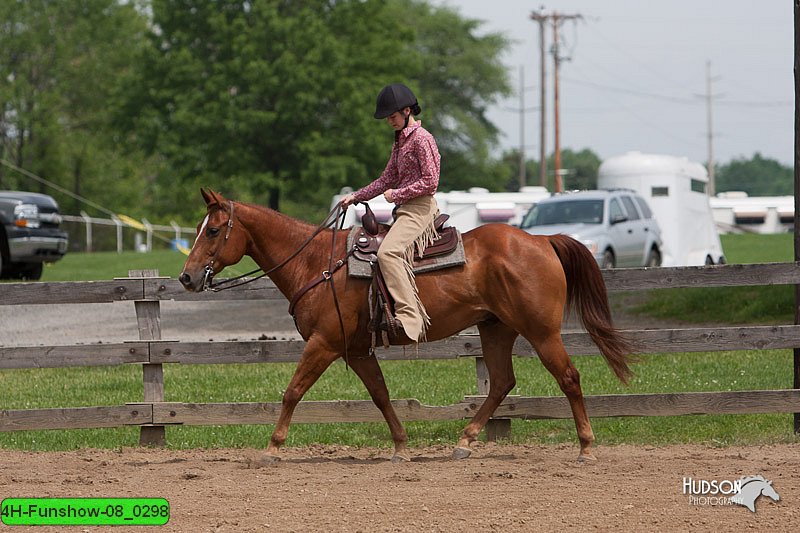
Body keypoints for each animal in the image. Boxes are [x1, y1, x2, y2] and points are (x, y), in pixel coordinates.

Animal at [180, 190, 632, 462]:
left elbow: (292, 391)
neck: (317, 263)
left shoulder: (324, 344)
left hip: (541, 332)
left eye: (214, 230)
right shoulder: (356, 349)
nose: (186, 277)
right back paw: (464, 442)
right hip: (495, 329)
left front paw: (273, 448)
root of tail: (541, 241)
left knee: (569, 377)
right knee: (502, 382)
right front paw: (401, 446)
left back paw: (586, 447)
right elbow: (380, 395)